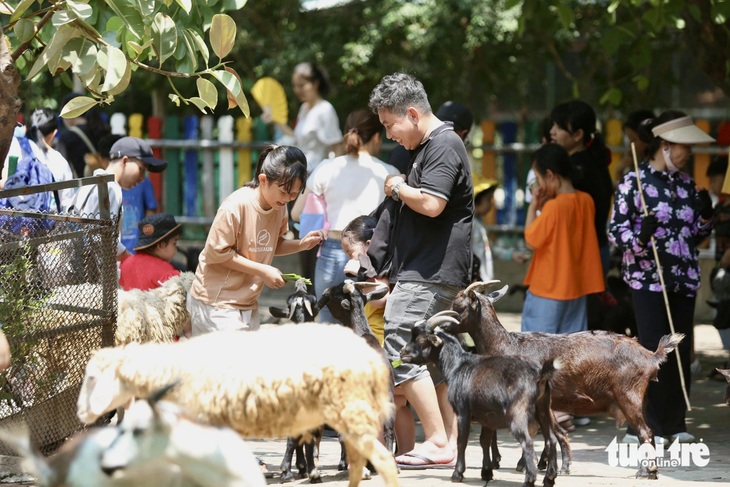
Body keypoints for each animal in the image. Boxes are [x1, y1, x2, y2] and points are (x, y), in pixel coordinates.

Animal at [398, 314, 556, 486]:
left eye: (421, 340)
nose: (402, 353)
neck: (457, 366)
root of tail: (539, 374)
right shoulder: (487, 416)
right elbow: (484, 440)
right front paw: (486, 472)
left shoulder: (463, 411)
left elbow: (462, 441)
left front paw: (457, 474)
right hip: (542, 408)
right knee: (551, 440)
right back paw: (549, 479)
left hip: (517, 412)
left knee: (527, 442)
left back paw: (530, 479)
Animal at [438, 282, 684, 480]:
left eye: (457, 306)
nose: (439, 325)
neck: (507, 345)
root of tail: (651, 356)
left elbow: (534, 431)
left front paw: (529, 465)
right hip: (642, 399)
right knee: (648, 432)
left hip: (628, 396)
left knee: (645, 432)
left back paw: (644, 473)